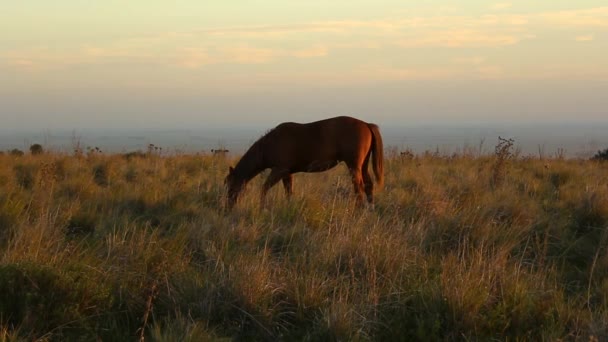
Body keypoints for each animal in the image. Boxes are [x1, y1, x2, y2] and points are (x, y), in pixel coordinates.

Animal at [223, 116, 384, 210]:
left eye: (230, 185)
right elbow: (289, 192)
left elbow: (264, 188)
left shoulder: (279, 170)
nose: (228, 207)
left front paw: (262, 207)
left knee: (359, 187)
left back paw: (359, 209)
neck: (270, 144)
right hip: (363, 165)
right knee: (368, 185)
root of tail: (366, 124)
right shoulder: (287, 173)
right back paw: (370, 208)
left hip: (353, 166)